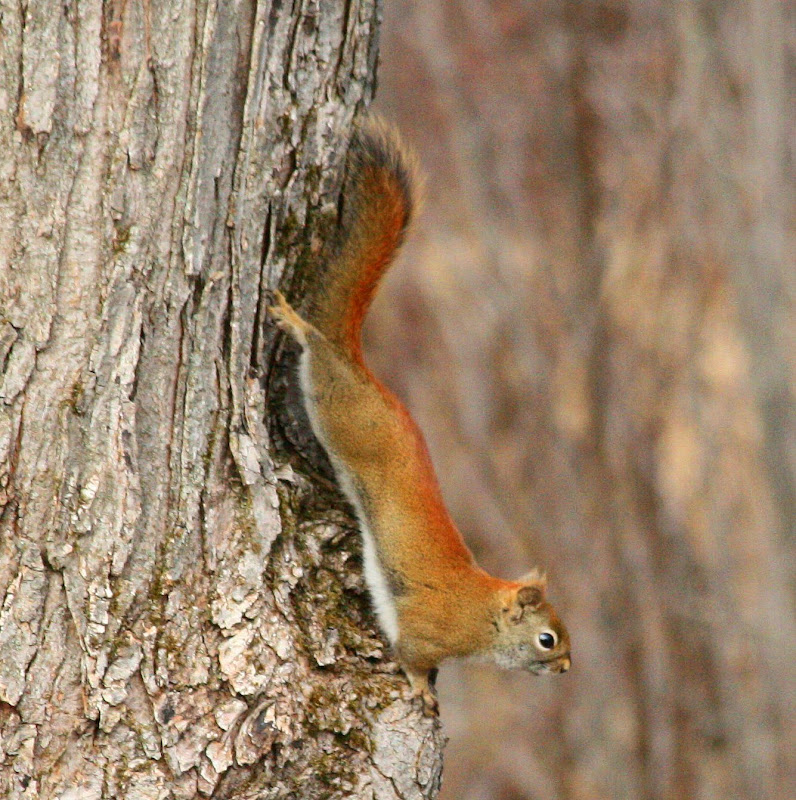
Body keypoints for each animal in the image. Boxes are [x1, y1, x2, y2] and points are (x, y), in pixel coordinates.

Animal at [269, 119, 571, 714]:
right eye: (548, 639)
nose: (568, 668)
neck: (483, 614)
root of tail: (361, 370)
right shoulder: (425, 632)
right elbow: (410, 656)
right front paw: (420, 690)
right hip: (337, 406)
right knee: (317, 348)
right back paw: (296, 323)